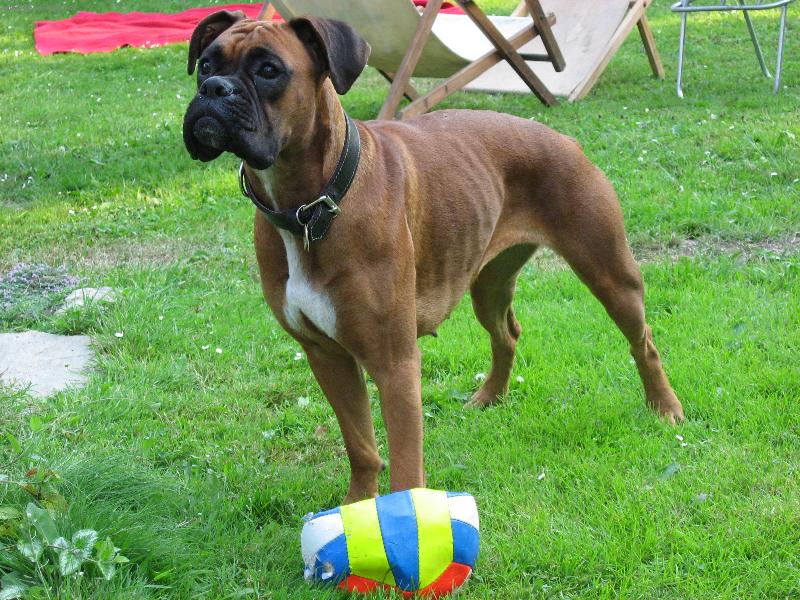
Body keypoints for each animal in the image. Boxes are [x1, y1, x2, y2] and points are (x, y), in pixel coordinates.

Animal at [182, 11, 685, 504]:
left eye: (269, 70)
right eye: (205, 65)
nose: (214, 89)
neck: (311, 206)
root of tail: (561, 137)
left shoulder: (395, 363)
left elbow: (405, 463)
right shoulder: (326, 356)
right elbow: (361, 444)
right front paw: (359, 505)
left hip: (610, 274)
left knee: (644, 342)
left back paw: (665, 408)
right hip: (488, 284)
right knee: (507, 334)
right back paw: (490, 397)